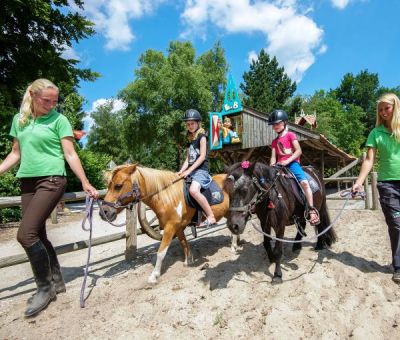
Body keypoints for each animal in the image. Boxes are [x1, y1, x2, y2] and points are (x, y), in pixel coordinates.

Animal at [99, 163, 239, 282]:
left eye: (118, 186)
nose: (103, 212)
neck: (167, 196)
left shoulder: (170, 227)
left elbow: (161, 252)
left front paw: (154, 276)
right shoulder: (178, 227)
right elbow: (184, 243)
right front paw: (188, 261)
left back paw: (234, 247)